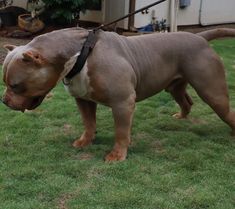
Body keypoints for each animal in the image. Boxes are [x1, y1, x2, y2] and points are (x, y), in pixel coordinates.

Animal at [1, 27, 235, 161]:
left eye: (15, 85)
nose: (3, 101)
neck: (80, 54)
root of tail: (200, 37)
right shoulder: (83, 99)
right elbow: (89, 123)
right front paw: (86, 141)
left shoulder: (123, 102)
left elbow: (121, 132)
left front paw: (117, 155)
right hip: (174, 86)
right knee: (187, 101)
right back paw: (181, 117)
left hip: (212, 91)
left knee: (225, 111)